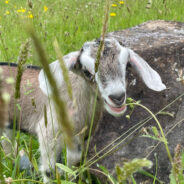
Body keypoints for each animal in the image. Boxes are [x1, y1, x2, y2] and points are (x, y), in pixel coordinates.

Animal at [0, 37, 165, 183]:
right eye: (87, 72)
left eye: (126, 67)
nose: (117, 97)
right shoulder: (49, 132)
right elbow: (50, 171)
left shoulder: (78, 137)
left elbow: (73, 164)